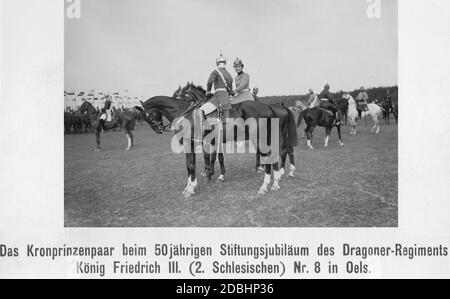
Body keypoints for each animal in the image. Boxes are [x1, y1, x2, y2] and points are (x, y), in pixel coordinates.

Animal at [137, 84, 298, 197]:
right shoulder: (204, 143)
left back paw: (267, 184)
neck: (184, 112)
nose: (158, 129)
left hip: (262, 138)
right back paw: (276, 181)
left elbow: (194, 165)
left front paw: (195, 185)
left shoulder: (193, 143)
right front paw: (195, 184)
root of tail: (270, 107)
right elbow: (200, 162)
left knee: (276, 154)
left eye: (146, 116)